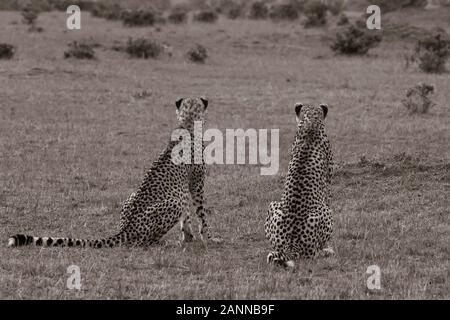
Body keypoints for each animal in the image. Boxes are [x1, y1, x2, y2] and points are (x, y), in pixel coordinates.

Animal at [7, 97, 215, 248]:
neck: (187, 125)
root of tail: (124, 229)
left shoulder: (185, 186)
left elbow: (187, 216)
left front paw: (188, 237)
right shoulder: (197, 184)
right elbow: (201, 214)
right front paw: (209, 238)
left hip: (134, 196)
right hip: (172, 203)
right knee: (140, 242)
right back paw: (159, 243)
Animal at [264, 102, 334, 268]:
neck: (311, 123)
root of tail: (291, 246)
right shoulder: (329, 182)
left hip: (273, 205)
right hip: (326, 213)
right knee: (314, 254)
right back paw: (327, 251)